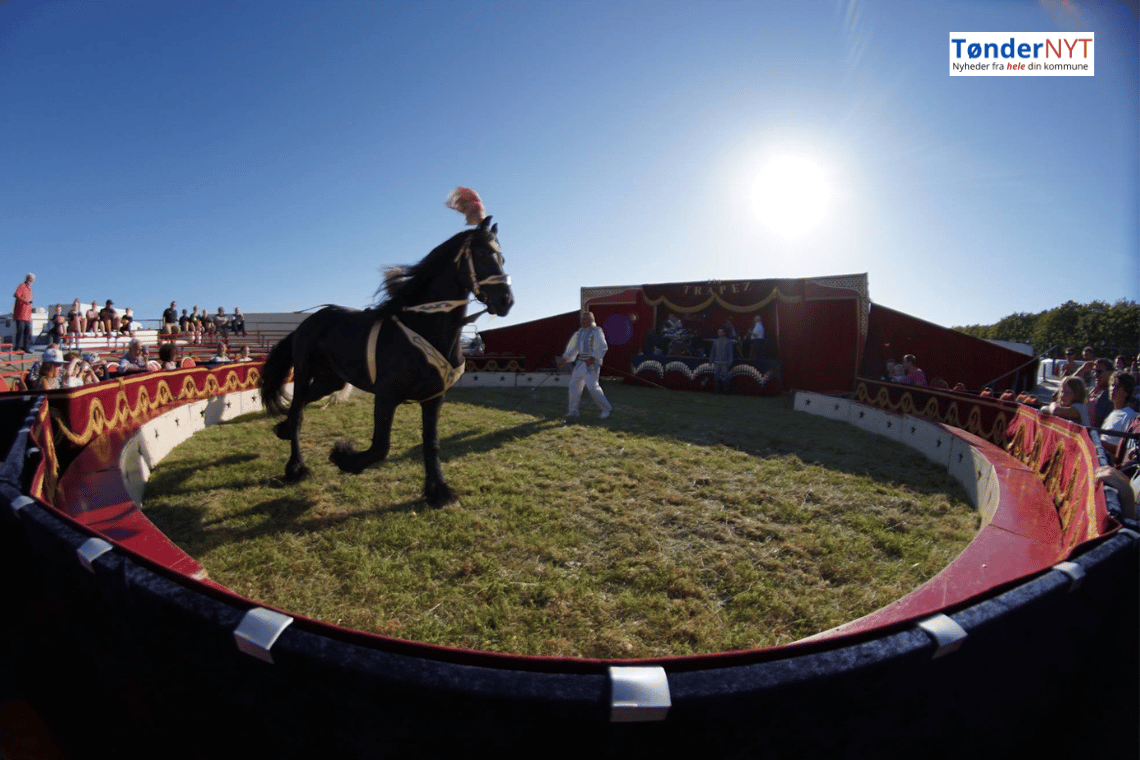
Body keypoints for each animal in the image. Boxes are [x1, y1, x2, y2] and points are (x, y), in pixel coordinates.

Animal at [261, 216, 515, 508]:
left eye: (503, 258)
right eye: (483, 254)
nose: (506, 301)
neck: (424, 326)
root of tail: (307, 322)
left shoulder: (433, 398)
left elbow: (431, 443)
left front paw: (438, 491)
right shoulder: (386, 395)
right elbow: (380, 447)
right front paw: (344, 457)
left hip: (330, 380)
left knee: (300, 408)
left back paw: (283, 431)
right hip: (303, 373)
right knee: (298, 412)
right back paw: (296, 468)